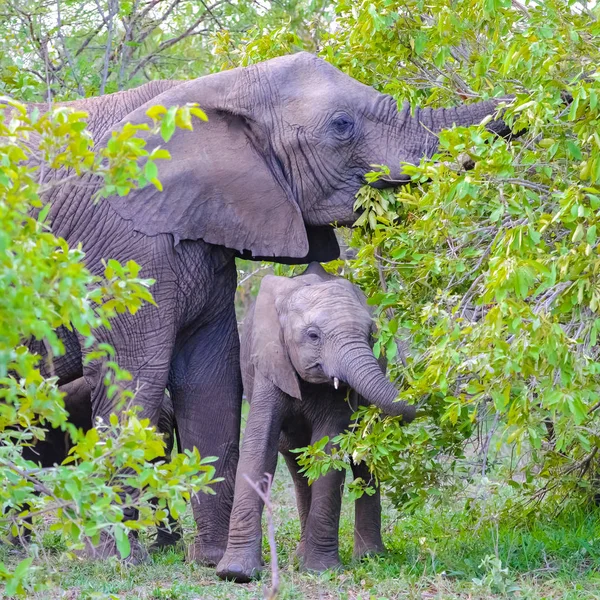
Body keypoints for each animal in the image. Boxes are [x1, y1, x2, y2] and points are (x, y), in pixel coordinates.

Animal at [217, 262, 418, 580]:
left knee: (363, 456)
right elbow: (259, 449)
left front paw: (321, 570)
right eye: (313, 336)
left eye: (370, 334)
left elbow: (328, 451)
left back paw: (369, 557)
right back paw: (301, 557)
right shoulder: (269, 365)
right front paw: (236, 573)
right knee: (297, 463)